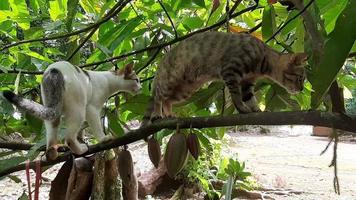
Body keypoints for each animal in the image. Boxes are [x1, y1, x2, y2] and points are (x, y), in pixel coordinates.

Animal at [3, 61, 142, 158]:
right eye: (137, 80)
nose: (141, 88)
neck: (108, 79)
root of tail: (54, 70)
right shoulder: (91, 108)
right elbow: (96, 126)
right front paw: (103, 138)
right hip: (78, 109)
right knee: (69, 138)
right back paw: (80, 149)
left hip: (52, 108)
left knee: (52, 126)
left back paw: (52, 152)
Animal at [143, 31, 308, 122]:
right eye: (301, 78)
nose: (301, 89)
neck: (264, 58)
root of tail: (163, 60)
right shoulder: (231, 71)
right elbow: (237, 96)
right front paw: (242, 108)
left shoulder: (247, 82)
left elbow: (250, 98)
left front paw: (257, 110)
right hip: (171, 80)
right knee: (158, 96)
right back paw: (157, 114)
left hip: (185, 89)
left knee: (168, 100)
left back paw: (169, 114)